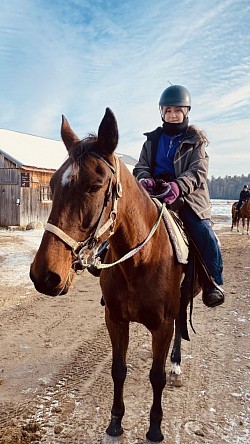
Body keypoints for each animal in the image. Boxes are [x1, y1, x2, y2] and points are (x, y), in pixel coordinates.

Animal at [29, 108, 201, 444]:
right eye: (52, 185)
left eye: (95, 186)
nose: (44, 276)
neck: (139, 263)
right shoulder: (115, 320)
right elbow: (118, 370)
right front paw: (115, 422)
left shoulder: (161, 325)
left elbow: (156, 376)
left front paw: (155, 428)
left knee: (178, 332)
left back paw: (176, 366)